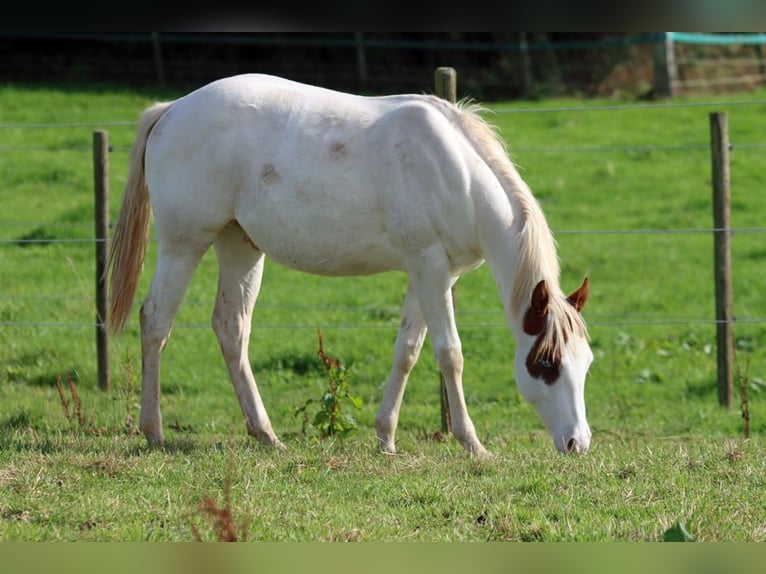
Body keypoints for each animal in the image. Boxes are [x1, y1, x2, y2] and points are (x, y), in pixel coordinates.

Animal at [108, 73, 593, 457]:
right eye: (546, 363)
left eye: (585, 362)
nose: (578, 443)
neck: (456, 173)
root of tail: (172, 110)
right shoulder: (430, 267)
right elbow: (449, 353)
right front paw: (471, 443)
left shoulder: (429, 273)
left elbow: (408, 351)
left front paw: (386, 438)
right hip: (183, 244)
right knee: (155, 321)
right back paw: (153, 431)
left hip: (240, 245)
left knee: (231, 328)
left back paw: (265, 434)